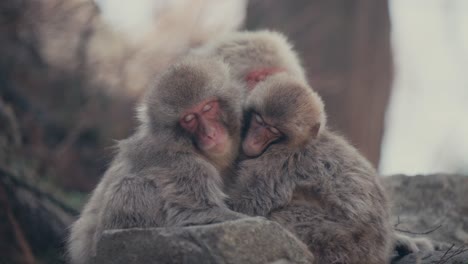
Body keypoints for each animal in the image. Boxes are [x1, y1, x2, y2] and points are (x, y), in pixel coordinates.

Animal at [68, 56, 249, 262]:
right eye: (189, 119)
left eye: (208, 107)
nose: (210, 133)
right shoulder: (178, 163)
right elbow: (195, 213)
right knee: (133, 186)